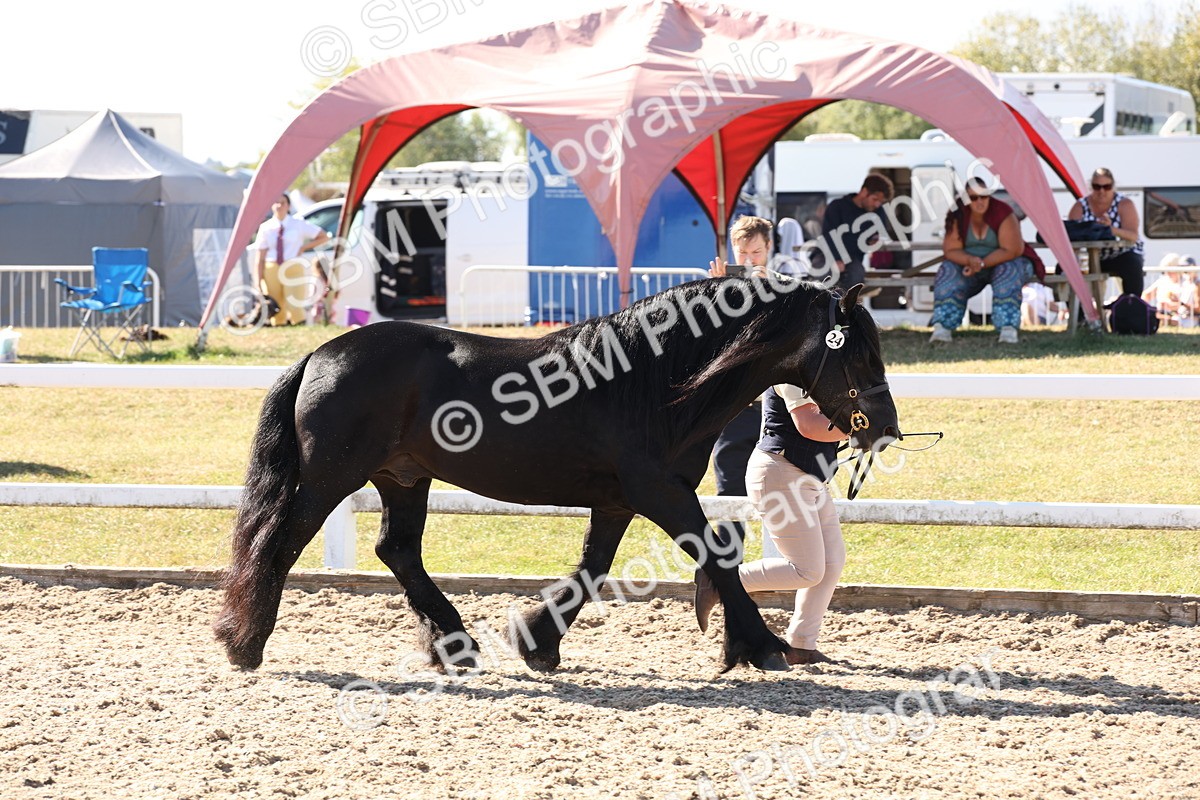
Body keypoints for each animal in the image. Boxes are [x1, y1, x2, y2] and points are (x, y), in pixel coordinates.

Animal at [214, 278, 899, 674]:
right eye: (861, 352)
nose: (886, 427)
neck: (654, 383)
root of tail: (319, 354)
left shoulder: (621, 500)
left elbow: (592, 569)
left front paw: (537, 642)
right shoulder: (660, 491)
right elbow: (715, 556)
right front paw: (760, 645)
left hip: (402, 478)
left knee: (397, 551)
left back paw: (453, 645)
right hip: (332, 480)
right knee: (279, 543)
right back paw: (244, 643)